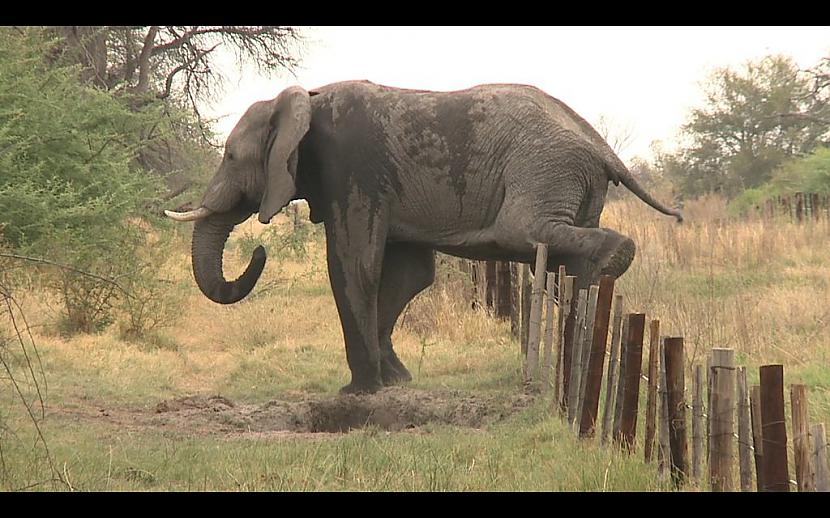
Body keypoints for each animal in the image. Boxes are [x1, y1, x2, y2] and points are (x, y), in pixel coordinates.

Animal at [167, 81, 684, 396]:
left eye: (230, 156)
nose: (259, 249)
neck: (304, 100)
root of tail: (601, 145)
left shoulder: (352, 168)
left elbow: (353, 264)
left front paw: (358, 392)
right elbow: (409, 276)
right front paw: (397, 381)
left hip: (543, 168)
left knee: (523, 232)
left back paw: (612, 260)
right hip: (575, 179)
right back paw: (593, 280)